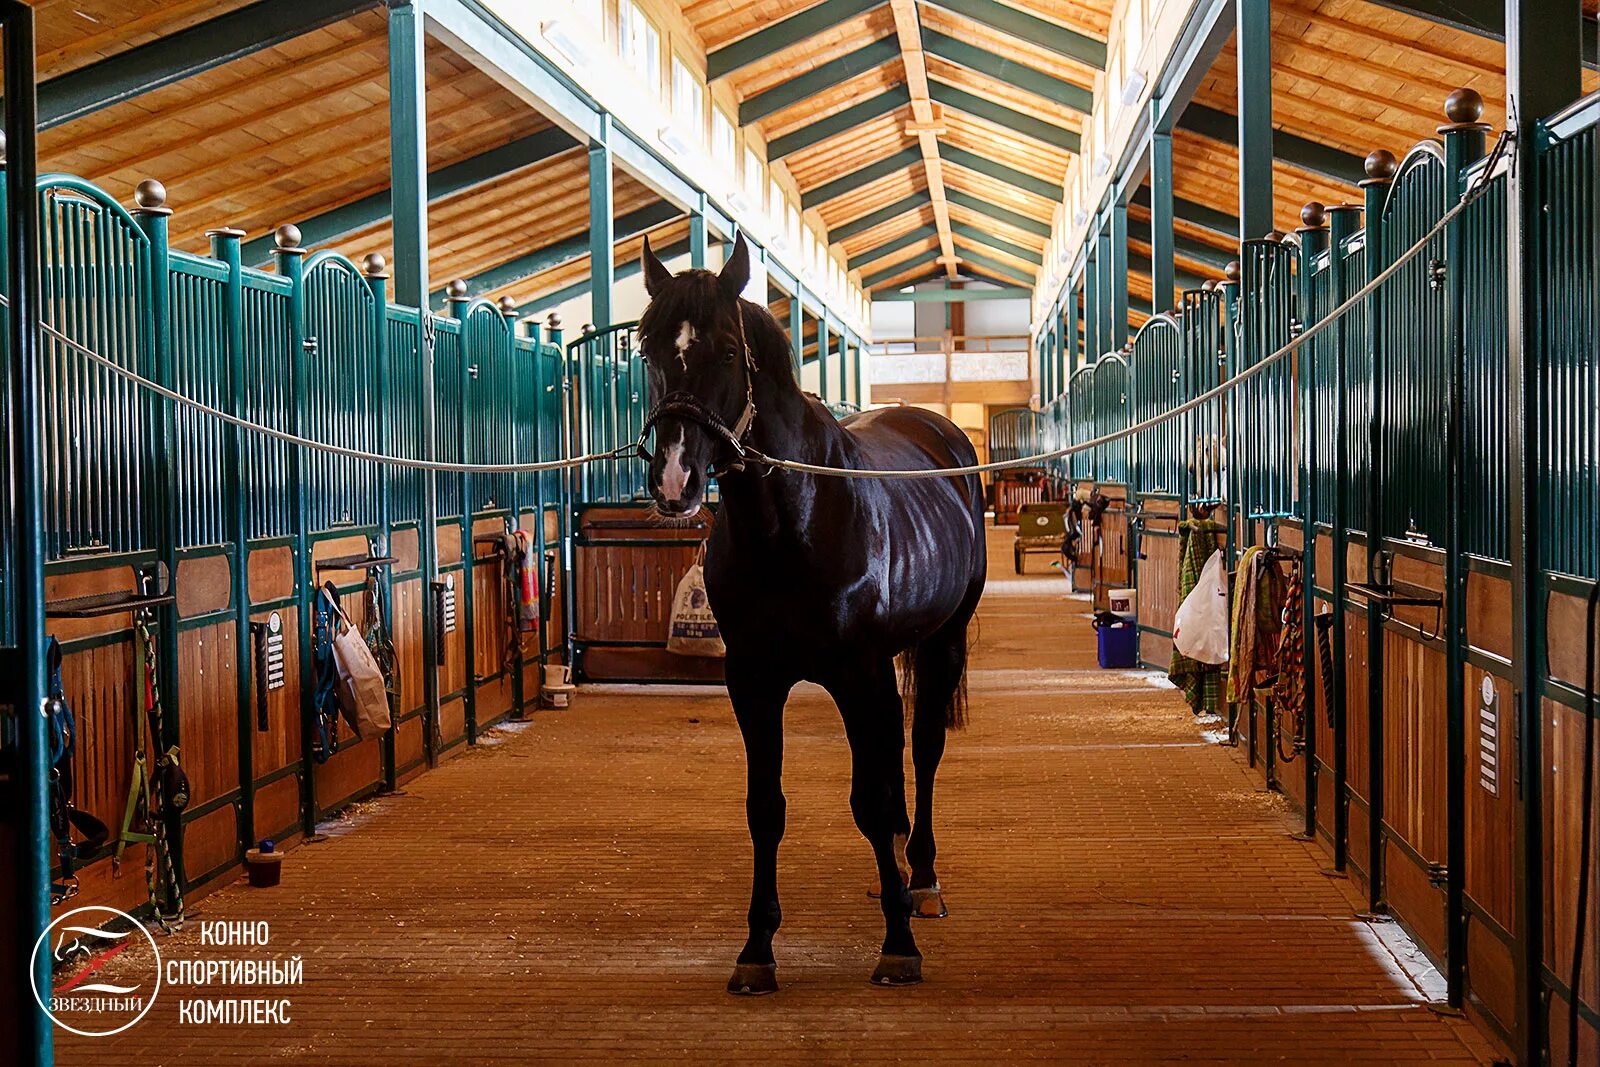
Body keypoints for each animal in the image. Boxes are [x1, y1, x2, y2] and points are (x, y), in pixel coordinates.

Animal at [636, 233, 985, 991]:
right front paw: (756, 950)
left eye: (728, 353)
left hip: (940, 643)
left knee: (923, 748)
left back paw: (920, 881)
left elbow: (871, 798)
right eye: (647, 350)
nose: (675, 478)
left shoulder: (857, 673)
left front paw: (898, 944)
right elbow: (766, 808)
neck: (790, 522)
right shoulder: (753, 682)